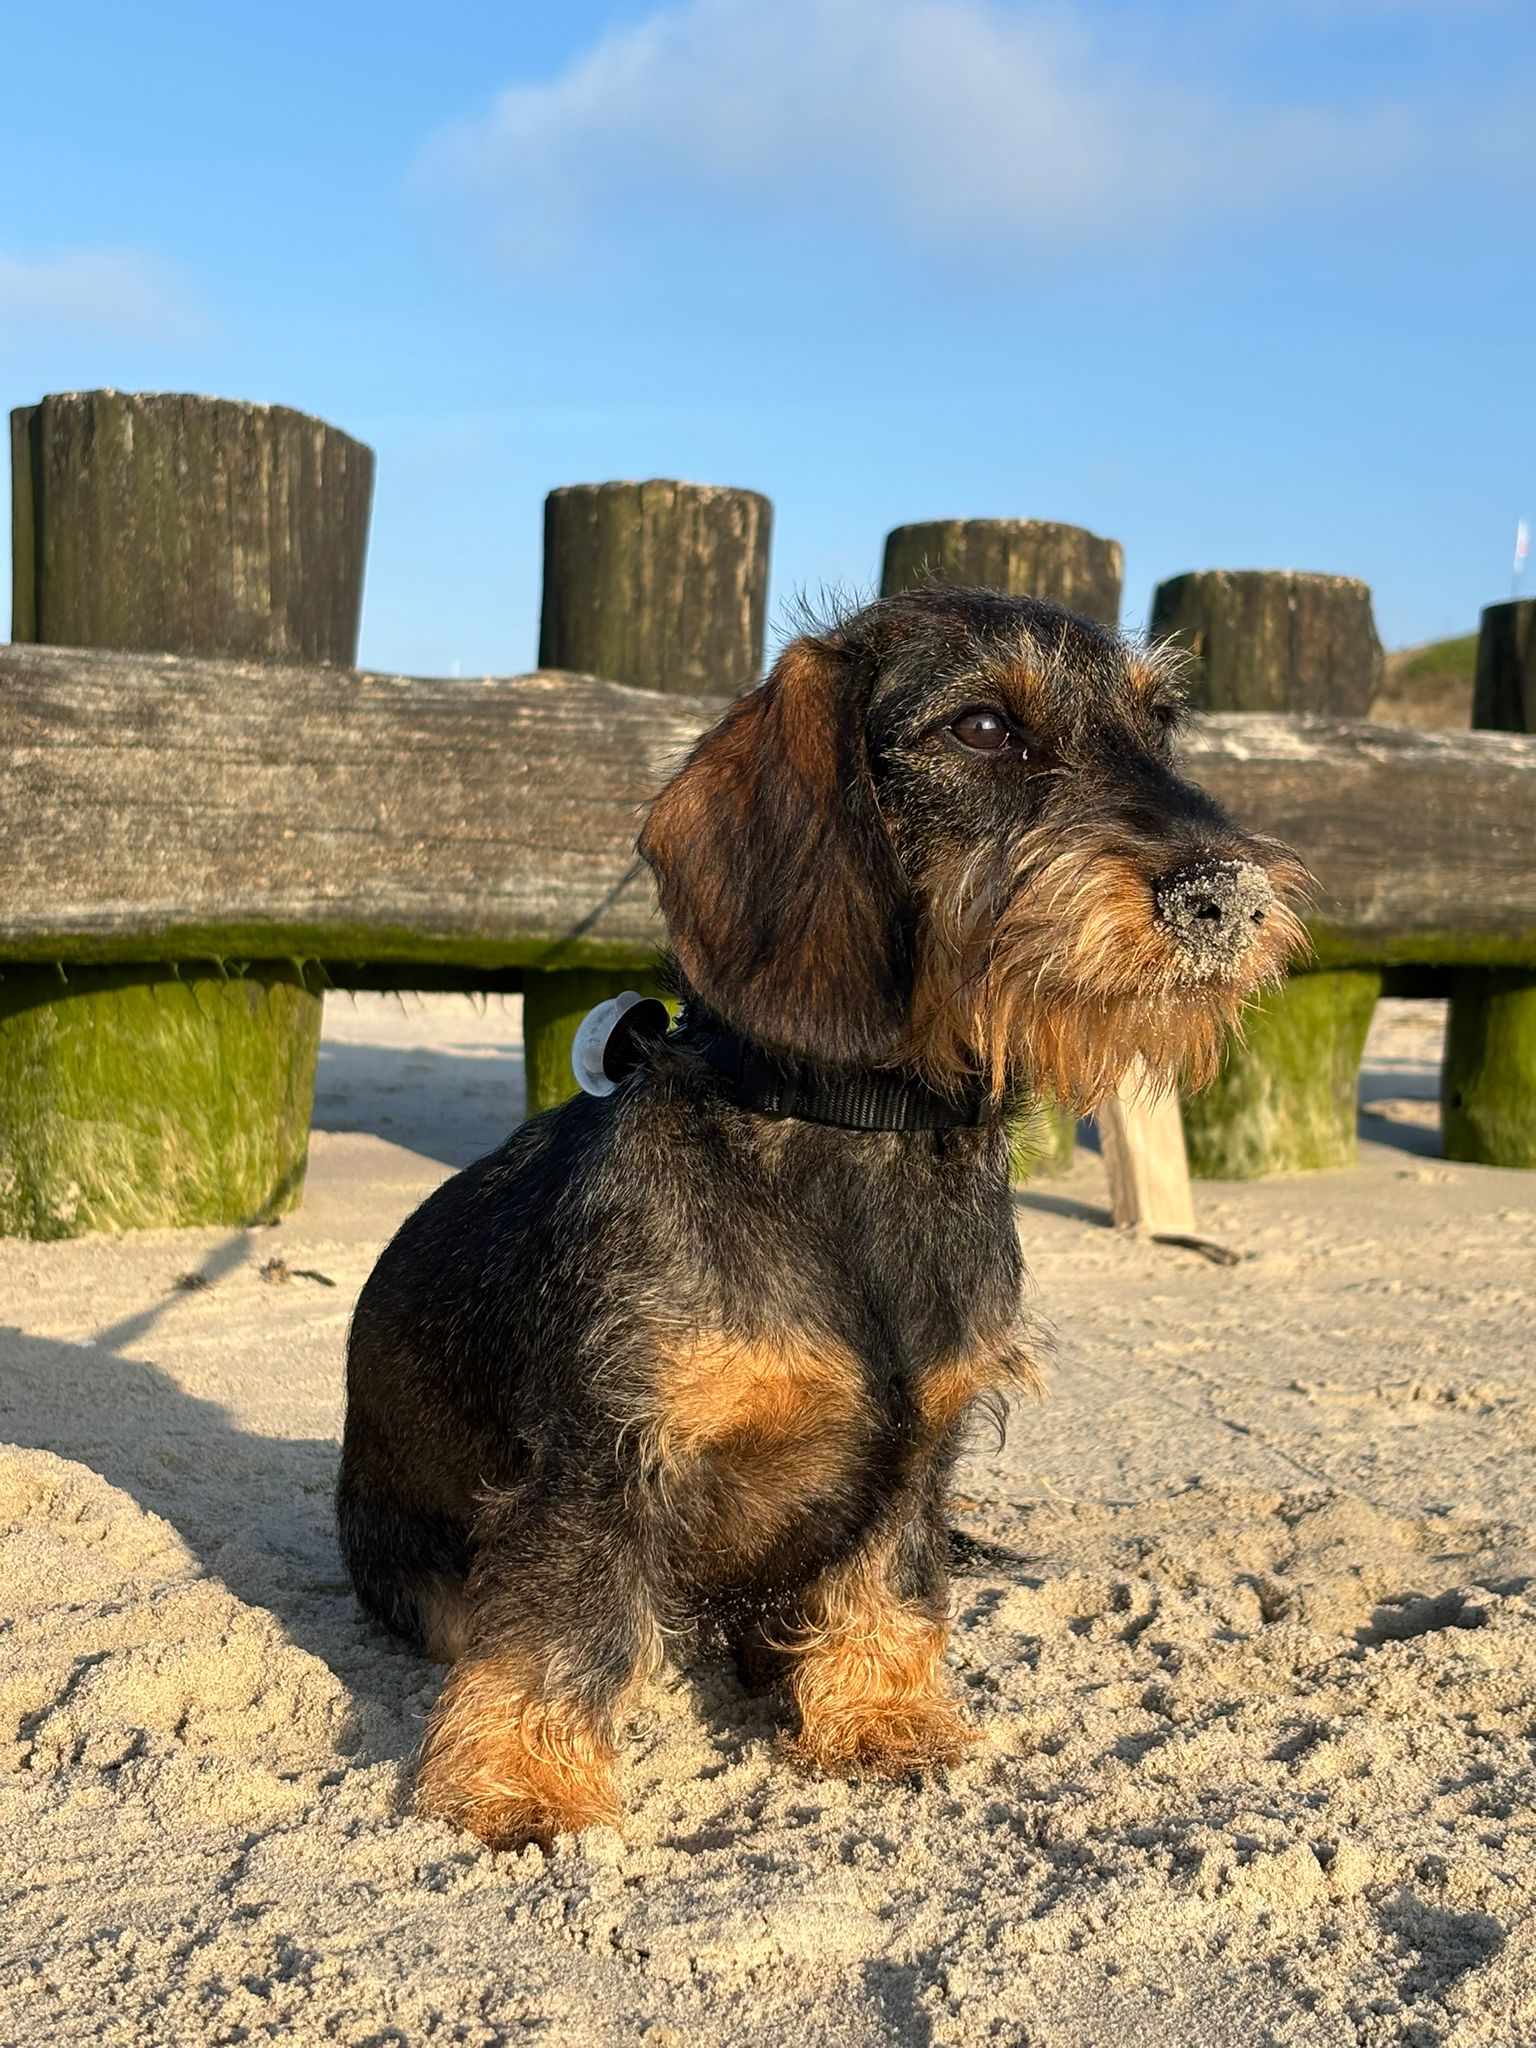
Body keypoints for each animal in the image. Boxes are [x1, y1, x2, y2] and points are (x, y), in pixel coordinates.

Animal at [337, 587, 1307, 1850]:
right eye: (984, 727)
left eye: (1160, 726)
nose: (1229, 898)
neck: (861, 1131)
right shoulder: (603, 1458)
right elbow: (565, 1621)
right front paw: (524, 1785)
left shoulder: (921, 1445)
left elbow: (890, 1578)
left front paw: (883, 1716)